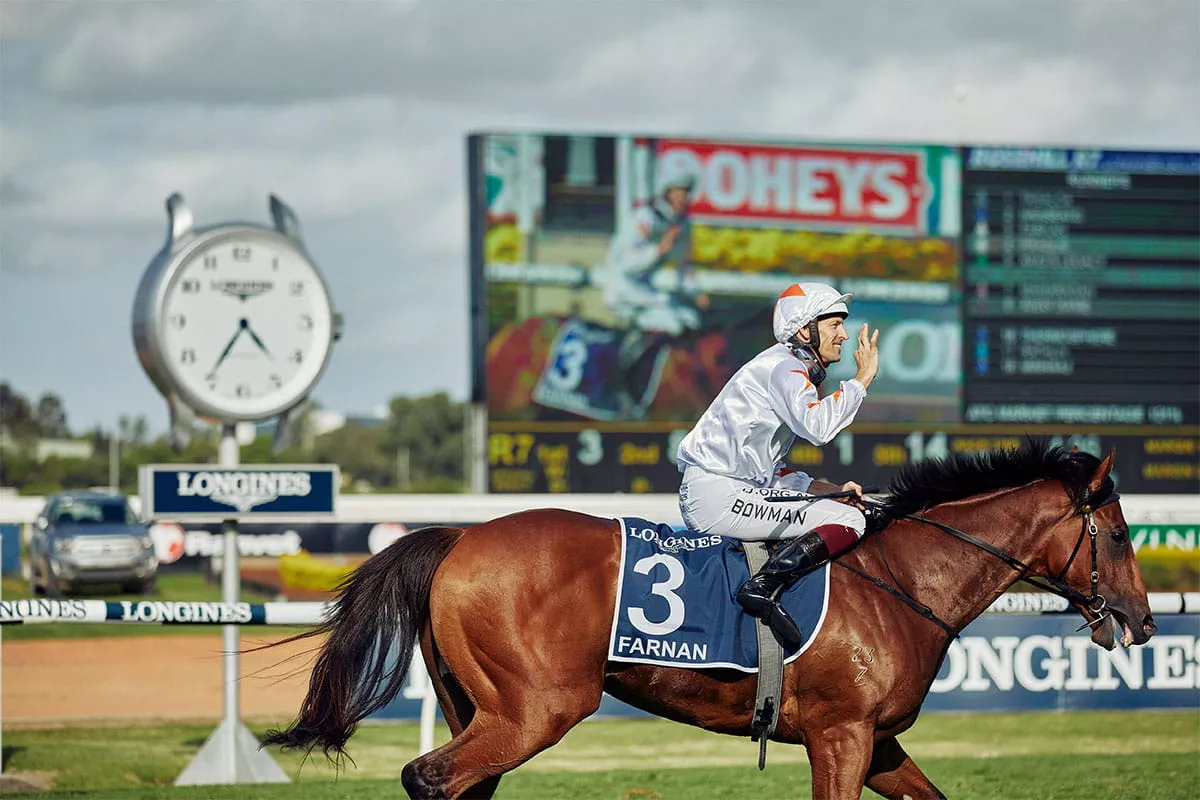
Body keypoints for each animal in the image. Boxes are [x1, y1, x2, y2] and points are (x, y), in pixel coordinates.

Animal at [260, 441, 1152, 796]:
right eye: (1116, 534)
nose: (1143, 622)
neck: (901, 579)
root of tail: (460, 536)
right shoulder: (841, 736)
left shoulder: (877, 741)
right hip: (537, 708)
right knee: (431, 777)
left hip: (479, 708)